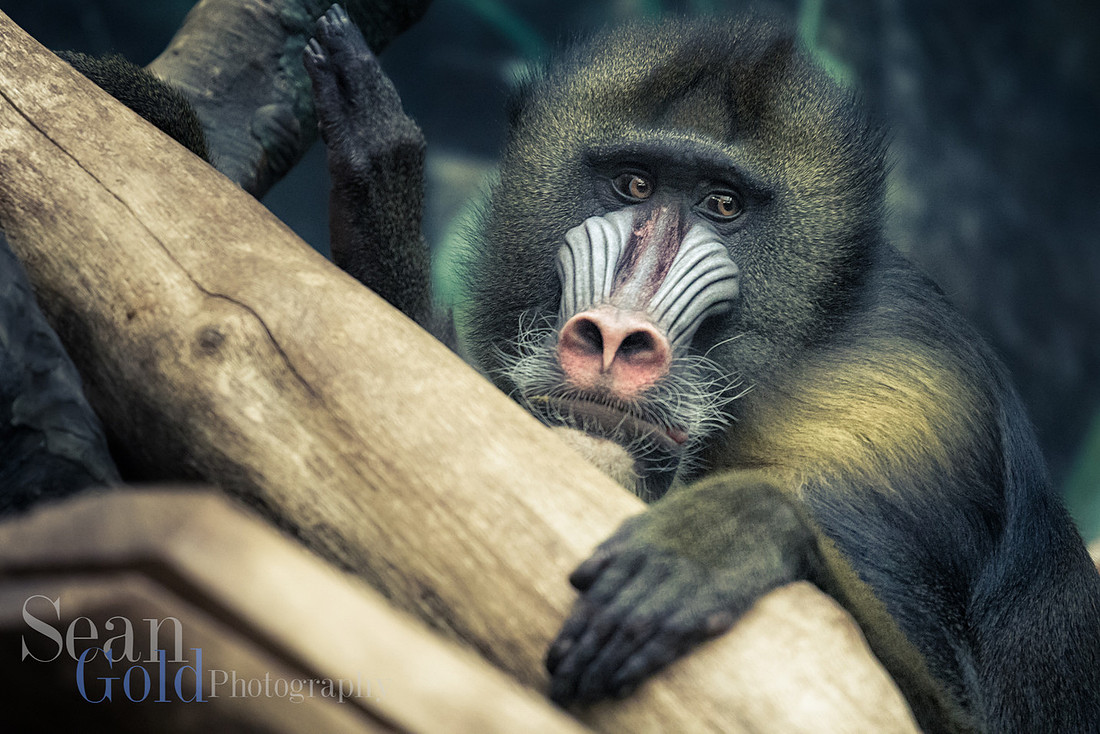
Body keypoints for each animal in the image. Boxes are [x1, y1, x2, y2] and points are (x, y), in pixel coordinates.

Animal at [304, 5, 1100, 732]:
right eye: (633, 185)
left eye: (722, 203)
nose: (615, 337)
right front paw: (377, 198)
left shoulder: (905, 420)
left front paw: (720, 540)